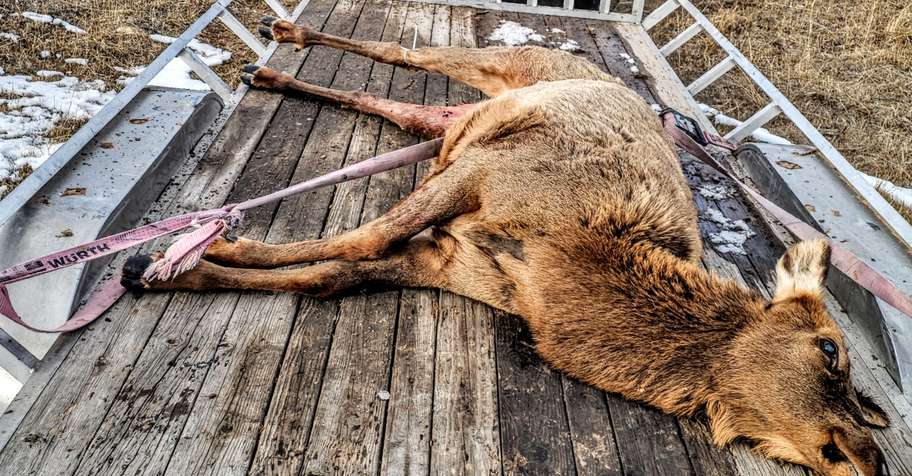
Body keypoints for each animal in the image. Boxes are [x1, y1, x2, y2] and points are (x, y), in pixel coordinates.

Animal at [120, 15, 891, 475]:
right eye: (831, 351)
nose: (870, 455)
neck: (563, 270)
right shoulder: (487, 172)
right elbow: (363, 234)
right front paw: (190, 248)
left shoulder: (450, 259)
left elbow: (330, 276)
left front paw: (177, 271)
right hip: (507, 64)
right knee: (403, 50)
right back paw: (284, 36)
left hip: (454, 120)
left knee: (408, 108)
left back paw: (272, 71)